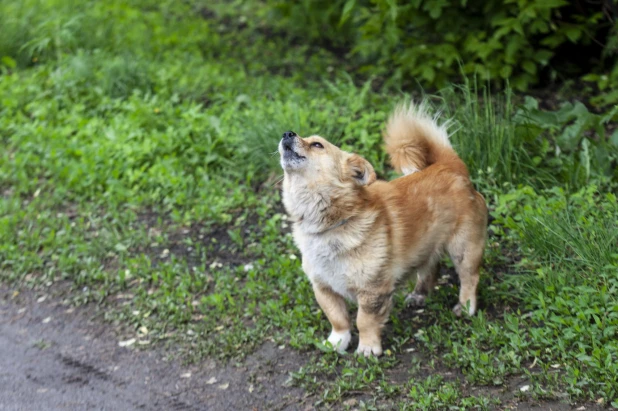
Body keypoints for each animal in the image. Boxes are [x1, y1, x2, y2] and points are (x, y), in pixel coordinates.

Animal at [278, 104, 486, 358]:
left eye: (317, 144)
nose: (287, 133)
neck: (329, 225)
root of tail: (450, 165)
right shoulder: (323, 287)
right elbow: (338, 318)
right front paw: (337, 342)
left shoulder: (372, 291)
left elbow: (364, 321)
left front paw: (367, 348)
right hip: (426, 245)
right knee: (431, 268)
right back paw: (419, 294)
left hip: (463, 248)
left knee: (469, 278)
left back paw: (465, 307)